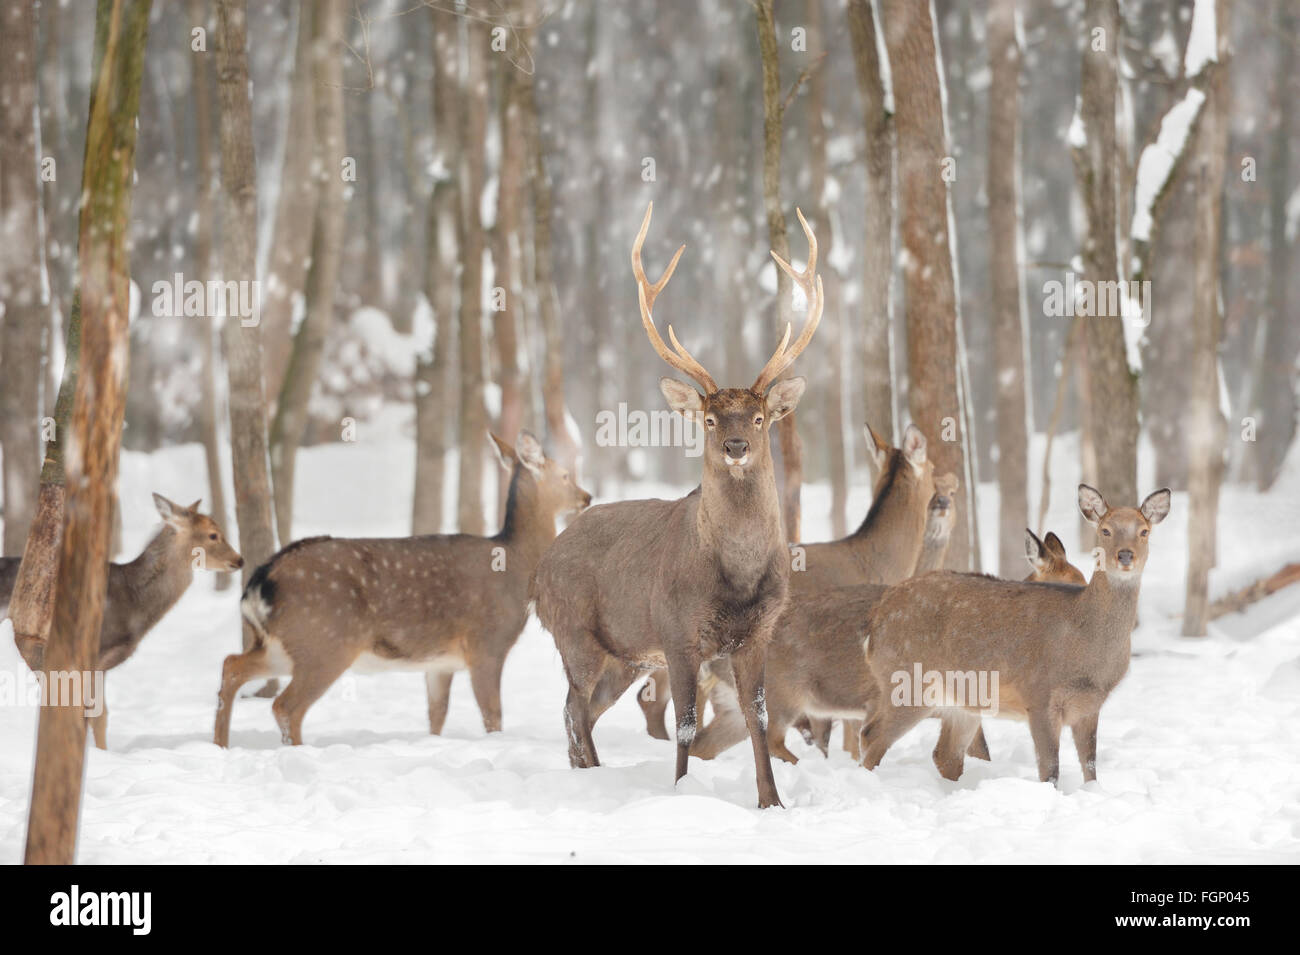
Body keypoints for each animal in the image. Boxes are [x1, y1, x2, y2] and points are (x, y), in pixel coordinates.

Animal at [0, 493, 243, 748]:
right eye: (213, 534)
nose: (240, 560)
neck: (131, 602)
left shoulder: (101, 664)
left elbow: (101, 715)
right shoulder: (91, 652)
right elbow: (87, 712)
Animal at [213, 431, 590, 748]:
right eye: (565, 475)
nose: (586, 496)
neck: (515, 562)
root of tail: (260, 581)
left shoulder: (440, 662)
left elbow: (436, 715)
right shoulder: (487, 643)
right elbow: (492, 716)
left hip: (284, 643)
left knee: (232, 665)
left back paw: (220, 744)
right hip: (326, 639)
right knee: (285, 705)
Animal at [530, 203, 823, 809]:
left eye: (758, 417)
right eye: (710, 418)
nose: (735, 446)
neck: (736, 578)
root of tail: (538, 572)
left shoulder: (757, 634)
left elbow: (760, 718)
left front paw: (772, 801)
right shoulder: (677, 631)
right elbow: (686, 723)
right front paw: (683, 792)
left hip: (623, 655)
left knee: (581, 711)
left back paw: (588, 775)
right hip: (575, 633)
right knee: (573, 709)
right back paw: (591, 779)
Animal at [859, 484, 1171, 784]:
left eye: (1144, 531)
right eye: (1105, 530)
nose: (1125, 555)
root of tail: (875, 620)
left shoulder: (1090, 706)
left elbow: (1091, 767)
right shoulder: (1039, 694)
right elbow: (1050, 771)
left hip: (960, 701)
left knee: (945, 753)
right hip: (907, 681)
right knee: (872, 734)